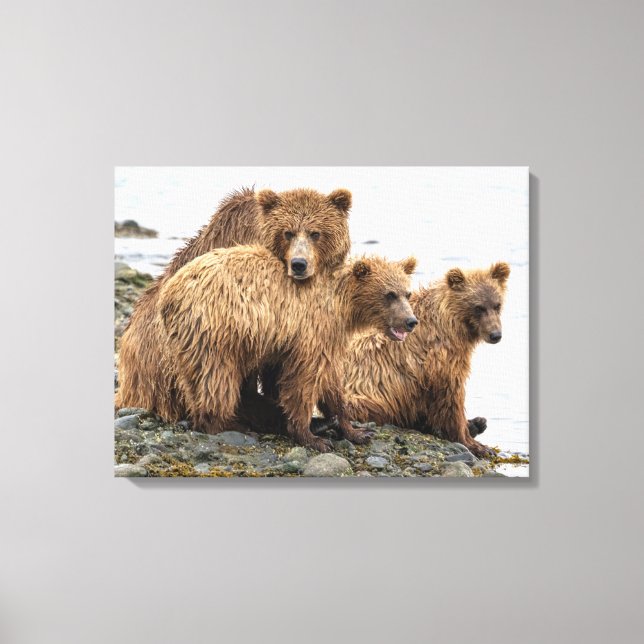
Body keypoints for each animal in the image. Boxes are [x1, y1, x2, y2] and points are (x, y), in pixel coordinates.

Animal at [157, 248, 418, 451]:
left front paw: (355, 431)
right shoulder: (312, 330)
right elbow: (304, 380)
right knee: (216, 378)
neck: (343, 306)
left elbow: (332, 382)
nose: (411, 321)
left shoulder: (330, 338)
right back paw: (230, 424)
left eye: (407, 293)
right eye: (389, 294)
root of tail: (168, 294)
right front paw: (312, 437)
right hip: (215, 330)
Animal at [341, 262, 511, 457]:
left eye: (497, 305)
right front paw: (476, 445)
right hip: (362, 396)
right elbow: (451, 397)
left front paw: (474, 428)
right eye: (479, 307)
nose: (495, 335)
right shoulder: (440, 359)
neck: (452, 324)